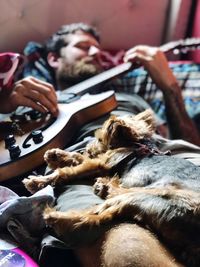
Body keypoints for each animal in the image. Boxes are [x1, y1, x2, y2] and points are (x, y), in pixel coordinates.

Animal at [23, 110, 200, 266]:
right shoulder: (102, 163)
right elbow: (79, 157)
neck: (135, 143)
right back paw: (105, 187)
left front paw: (38, 181)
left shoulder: (101, 164)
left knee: (98, 214)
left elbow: (67, 171)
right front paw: (55, 155)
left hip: (154, 196)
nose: (88, 148)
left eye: (100, 139)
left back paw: (56, 216)